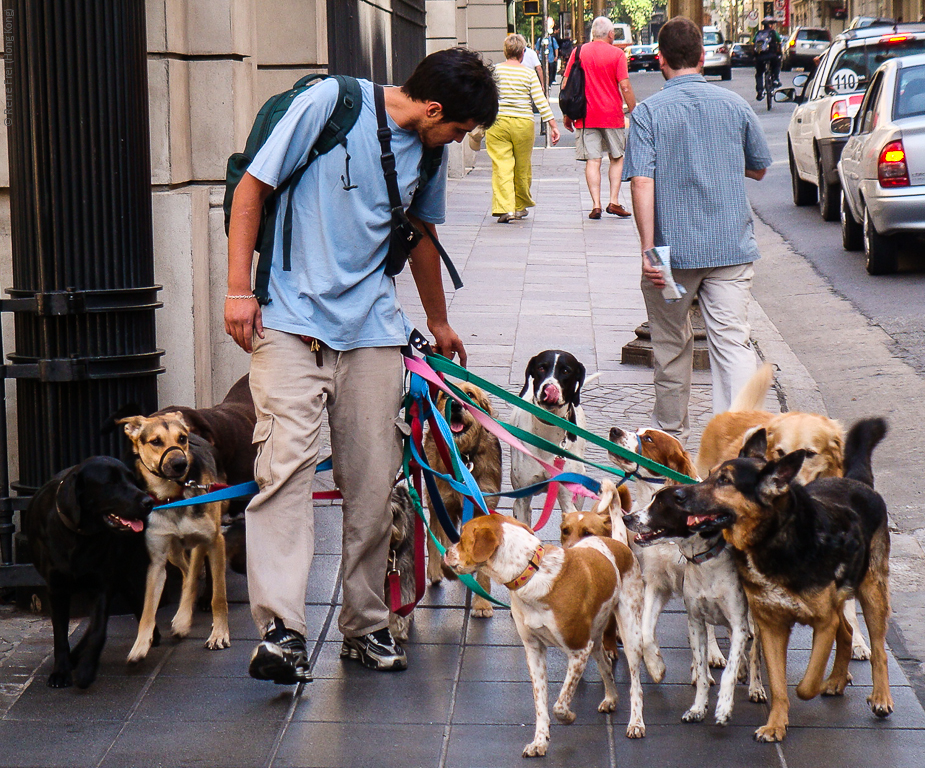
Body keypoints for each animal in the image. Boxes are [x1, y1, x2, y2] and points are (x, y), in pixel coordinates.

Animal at [117, 412, 231, 664]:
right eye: (156, 441)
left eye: (182, 438)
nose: (180, 463)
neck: (173, 497)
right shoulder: (157, 561)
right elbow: (148, 609)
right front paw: (141, 644)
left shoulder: (215, 542)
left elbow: (218, 596)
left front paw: (219, 634)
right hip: (173, 551)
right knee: (188, 572)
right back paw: (182, 617)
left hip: (202, 539)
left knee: (194, 570)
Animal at [424, 382, 502, 616]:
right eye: (443, 395)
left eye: (469, 394)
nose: (457, 405)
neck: (464, 457)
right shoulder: (445, 506)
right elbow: (446, 543)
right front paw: (448, 568)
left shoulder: (485, 508)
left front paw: (482, 604)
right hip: (434, 501)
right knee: (431, 535)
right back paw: (435, 570)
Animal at [444, 512, 648, 760]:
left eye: (463, 536)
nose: (446, 551)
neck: (532, 572)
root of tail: (618, 543)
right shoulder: (534, 650)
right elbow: (541, 704)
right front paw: (539, 742)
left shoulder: (579, 650)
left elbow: (559, 704)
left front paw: (568, 716)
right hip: (595, 638)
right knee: (606, 665)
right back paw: (610, 698)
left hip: (630, 631)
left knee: (636, 684)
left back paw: (636, 723)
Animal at [652, 416, 892, 740]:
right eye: (710, 475)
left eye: (724, 481)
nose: (677, 494)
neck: (771, 541)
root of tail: (857, 481)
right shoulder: (770, 623)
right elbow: (778, 684)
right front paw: (775, 725)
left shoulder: (820, 620)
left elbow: (806, 684)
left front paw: (805, 691)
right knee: (845, 631)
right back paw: (836, 681)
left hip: (872, 592)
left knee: (878, 647)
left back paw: (880, 697)